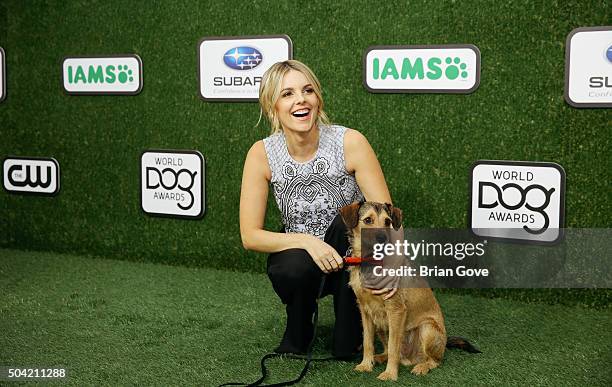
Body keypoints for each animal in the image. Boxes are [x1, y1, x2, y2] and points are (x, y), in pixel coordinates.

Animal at [340, 203, 478, 382]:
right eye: (368, 220)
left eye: (388, 221)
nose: (382, 239)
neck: (371, 263)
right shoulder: (365, 311)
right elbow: (367, 342)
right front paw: (365, 365)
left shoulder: (396, 310)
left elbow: (393, 346)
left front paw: (390, 374)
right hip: (381, 325)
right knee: (392, 352)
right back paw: (379, 358)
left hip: (427, 329)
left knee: (435, 360)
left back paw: (422, 367)